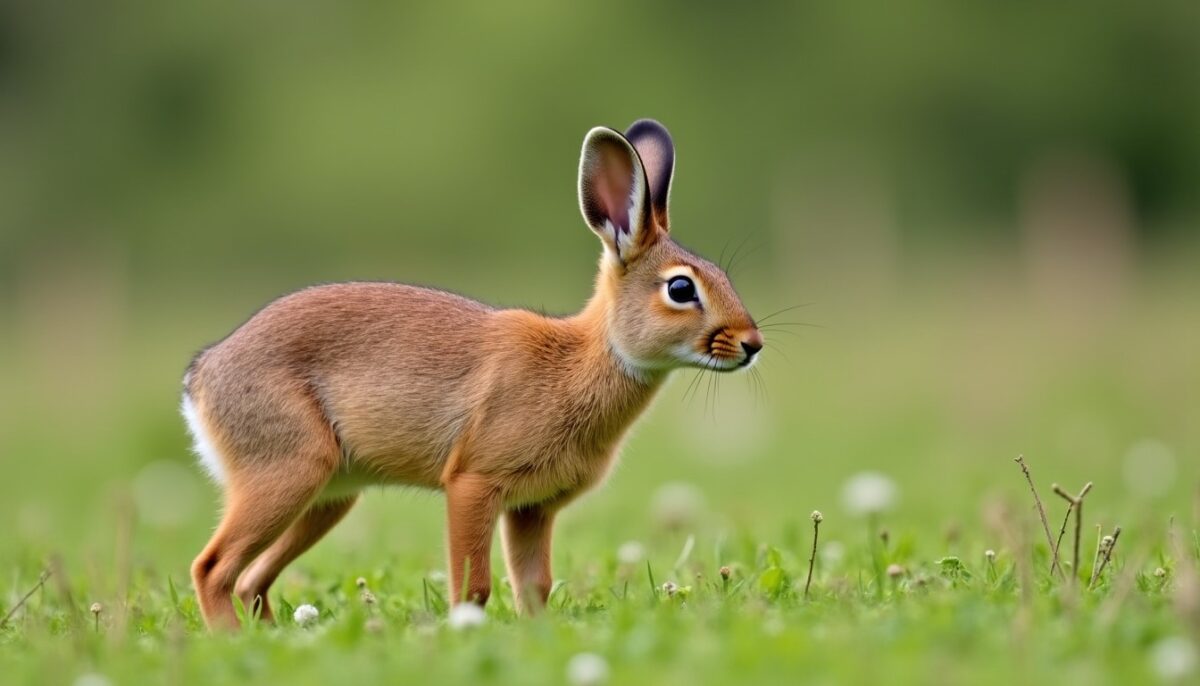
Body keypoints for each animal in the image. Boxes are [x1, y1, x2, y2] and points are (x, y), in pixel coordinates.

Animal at [182, 119, 763, 629]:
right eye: (681, 289)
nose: (751, 344)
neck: (586, 357)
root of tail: (202, 377)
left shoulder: (532, 509)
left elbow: (535, 585)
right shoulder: (473, 484)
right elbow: (475, 585)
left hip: (329, 496)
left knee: (249, 579)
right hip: (290, 471)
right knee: (211, 569)